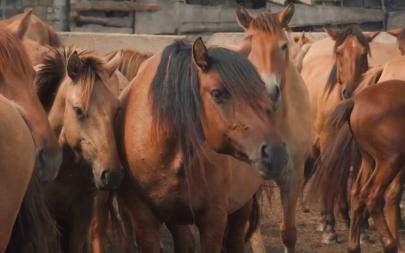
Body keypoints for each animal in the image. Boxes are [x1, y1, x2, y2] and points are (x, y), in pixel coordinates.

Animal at [300, 25, 378, 243]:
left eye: (363, 54)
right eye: (340, 52)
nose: (350, 92)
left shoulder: (357, 149)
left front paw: (362, 228)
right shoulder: (328, 142)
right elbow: (330, 177)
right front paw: (329, 227)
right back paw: (326, 219)